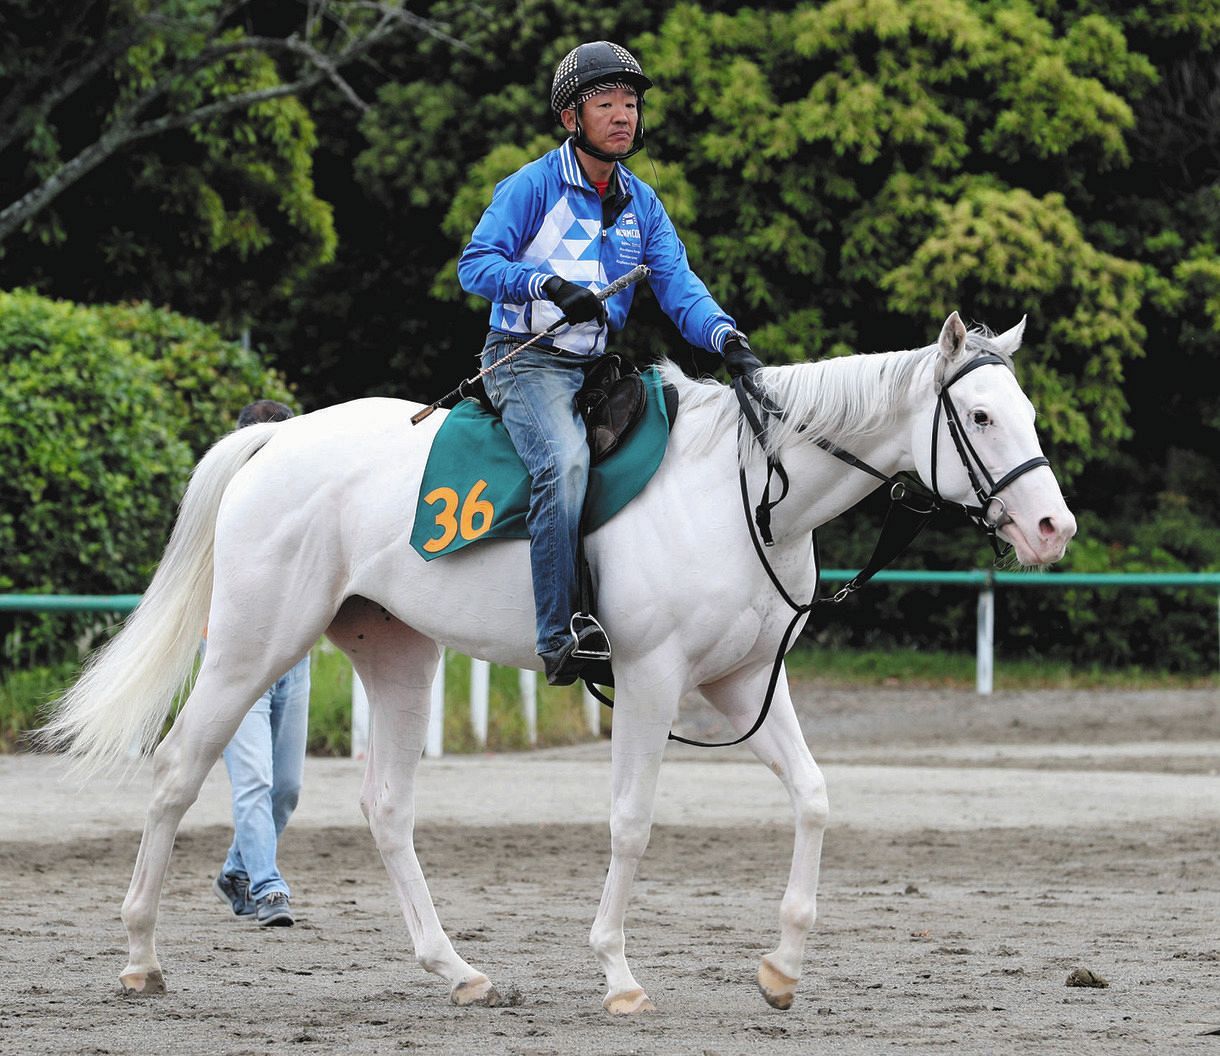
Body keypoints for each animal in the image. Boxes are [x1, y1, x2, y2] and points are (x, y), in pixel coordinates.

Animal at [45, 310, 1078, 1014]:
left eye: (1025, 411)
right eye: (980, 415)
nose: (1051, 528)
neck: (745, 492)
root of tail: (277, 437)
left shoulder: (745, 683)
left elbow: (816, 799)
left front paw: (782, 968)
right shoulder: (653, 682)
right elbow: (631, 823)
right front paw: (618, 973)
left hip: (398, 656)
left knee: (387, 808)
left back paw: (456, 970)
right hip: (252, 648)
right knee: (176, 776)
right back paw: (140, 959)